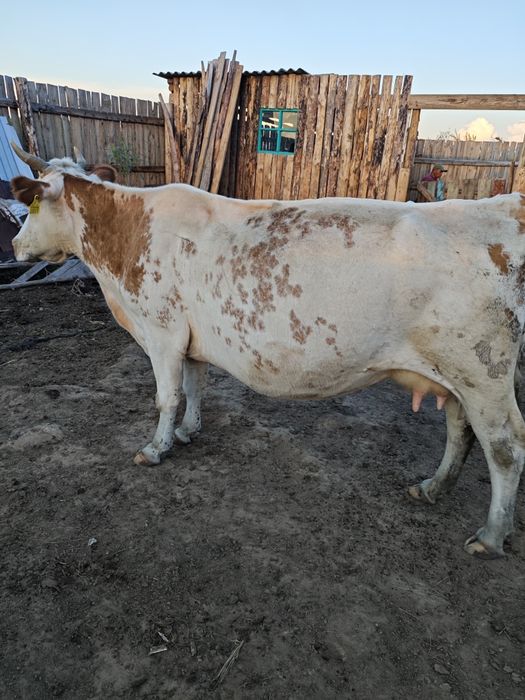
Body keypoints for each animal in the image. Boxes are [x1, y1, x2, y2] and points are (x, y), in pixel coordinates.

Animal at [10, 143, 525, 559]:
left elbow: (166, 398)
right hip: (455, 375)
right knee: (460, 428)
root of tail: (502, 206)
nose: (14, 244)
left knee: (505, 446)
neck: (122, 240)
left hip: (485, 372)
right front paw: (189, 432)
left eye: (31, 207)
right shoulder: (191, 338)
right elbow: (195, 388)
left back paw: (490, 536)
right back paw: (434, 487)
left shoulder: (162, 331)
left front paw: (156, 448)